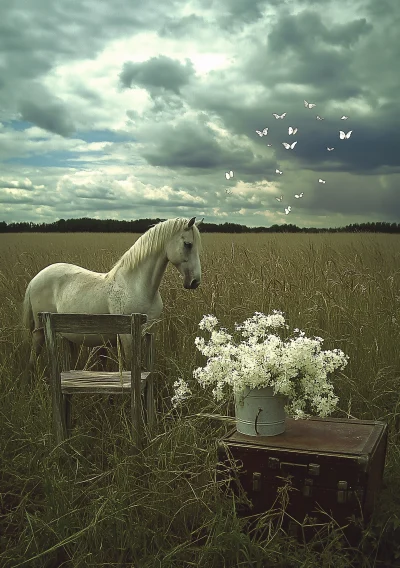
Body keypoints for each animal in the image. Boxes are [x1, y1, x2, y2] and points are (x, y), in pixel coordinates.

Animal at [22, 215, 203, 380]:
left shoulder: (147, 333)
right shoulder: (127, 336)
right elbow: (131, 366)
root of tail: (35, 279)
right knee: (34, 353)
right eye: (188, 244)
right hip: (41, 330)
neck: (136, 284)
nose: (195, 281)